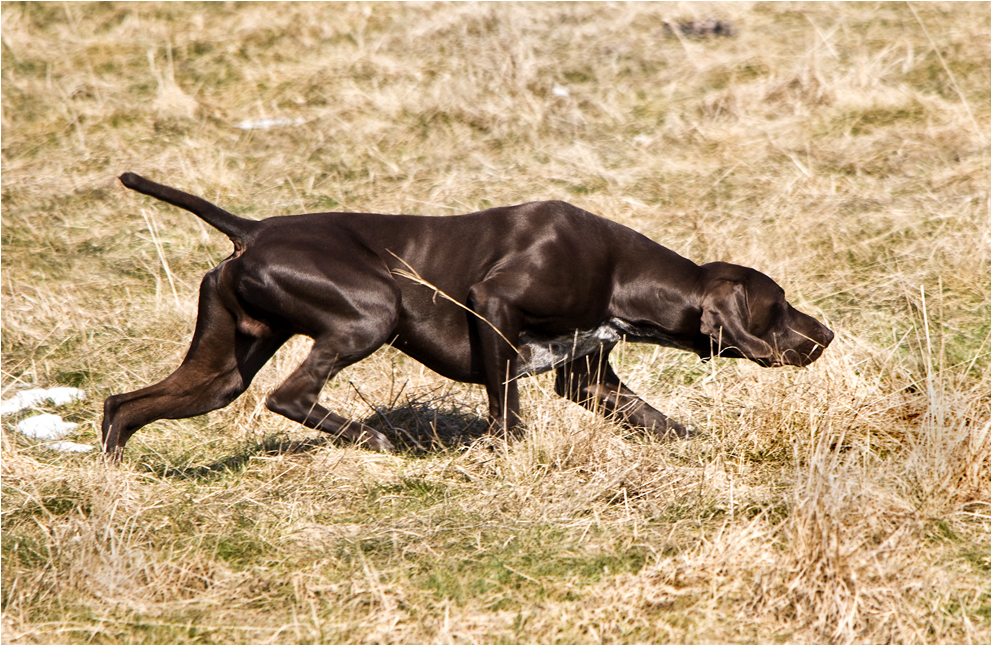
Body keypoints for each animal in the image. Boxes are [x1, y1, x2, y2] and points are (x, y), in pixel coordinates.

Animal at [101, 172, 832, 456]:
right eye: (780, 306)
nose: (826, 333)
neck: (622, 277)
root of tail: (252, 230)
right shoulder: (493, 304)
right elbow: (506, 404)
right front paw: (505, 454)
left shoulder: (588, 379)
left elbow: (661, 423)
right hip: (373, 311)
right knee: (290, 395)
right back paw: (379, 442)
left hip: (221, 371)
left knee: (123, 406)